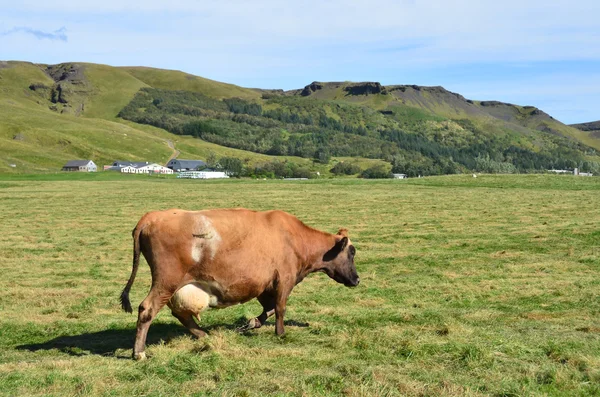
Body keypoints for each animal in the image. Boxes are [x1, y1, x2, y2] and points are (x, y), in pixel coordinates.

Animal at [119, 207, 358, 358]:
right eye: (352, 252)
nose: (357, 279)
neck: (294, 237)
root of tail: (152, 217)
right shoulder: (284, 279)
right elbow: (280, 308)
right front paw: (280, 333)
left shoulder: (265, 284)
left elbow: (270, 308)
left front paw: (253, 323)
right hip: (166, 281)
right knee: (147, 309)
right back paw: (139, 352)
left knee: (180, 313)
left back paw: (202, 334)